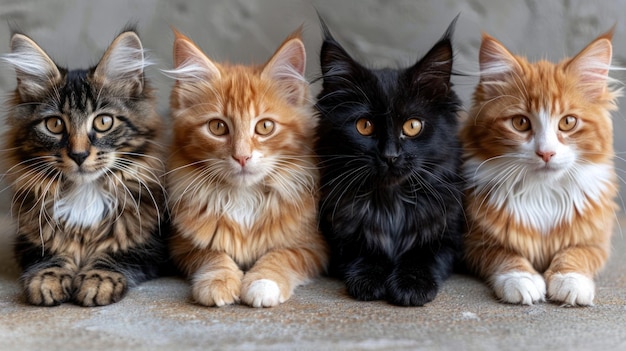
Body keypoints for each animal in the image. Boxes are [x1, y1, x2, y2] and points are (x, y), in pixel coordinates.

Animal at [2, 28, 167, 306]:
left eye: (103, 122)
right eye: (54, 125)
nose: (78, 155)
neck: (85, 194)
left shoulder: (150, 242)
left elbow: (115, 255)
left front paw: (98, 280)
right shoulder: (29, 239)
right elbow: (50, 256)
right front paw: (47, 279)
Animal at [163, 28, 330, 308]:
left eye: (265, 126)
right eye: (217, 127)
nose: (242, 157)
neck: (244, 197)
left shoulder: (311, 245)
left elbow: (280, 256)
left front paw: (263, 283)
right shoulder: (183, 246)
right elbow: (214, 256)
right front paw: (218, 281)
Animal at [316, 17, 464, 306]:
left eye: (413, 126)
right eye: (364, 126)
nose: (390, 155)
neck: (390, 203)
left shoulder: (447, 236)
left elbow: (422, 256)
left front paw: (411, 286)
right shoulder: (341, 233)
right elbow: (366, 251)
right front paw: (369, 280)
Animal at [458, 29, 620, 306]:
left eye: (568, 122)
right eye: (520, 123)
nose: (546, 152)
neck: (542, 192)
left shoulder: (596, 241)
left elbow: (576, 254)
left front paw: (569, 280)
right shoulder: (475, 242)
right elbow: (505, 256)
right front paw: (521, 280)